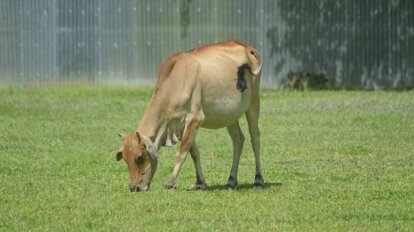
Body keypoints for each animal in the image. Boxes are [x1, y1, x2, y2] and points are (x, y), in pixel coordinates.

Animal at [115, 40, 266, 192]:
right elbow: (194, 153)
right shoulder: (182, 126)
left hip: (253, 104)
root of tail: (246, 46)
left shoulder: (195, 118)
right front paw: (200, 182)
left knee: (255, 138)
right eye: (125, 159)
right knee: (238, 140)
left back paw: (258, 179)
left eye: (140, 157)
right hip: (230, 116)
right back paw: (231, 180)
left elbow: (181, 153)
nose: (134, 188)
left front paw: (171, 182)